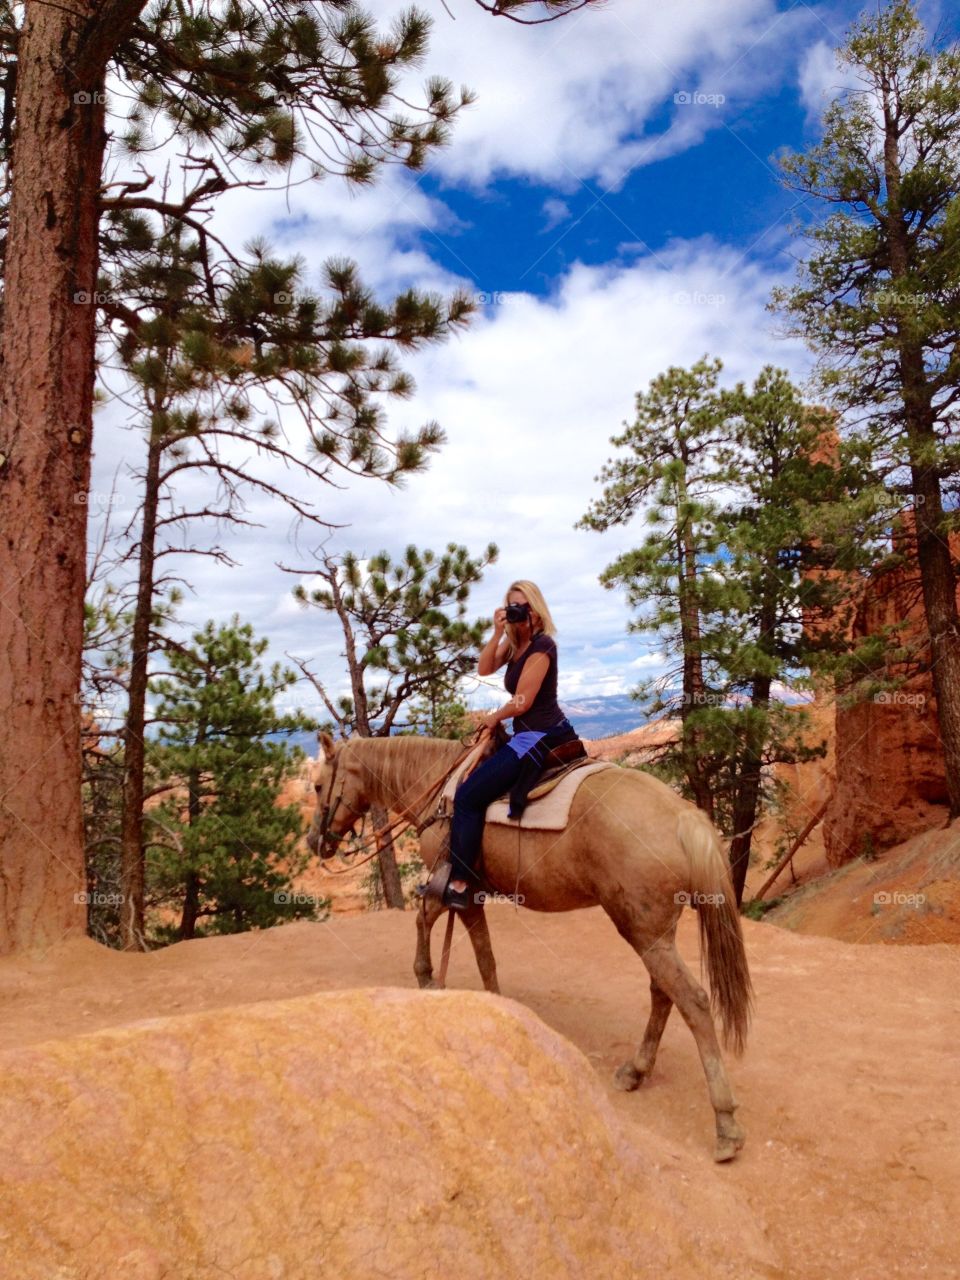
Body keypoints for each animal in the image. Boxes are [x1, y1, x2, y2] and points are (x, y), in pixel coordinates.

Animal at [312, 732, 757, 1162]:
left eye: (318, 785)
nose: (316, 841)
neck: (438, 786)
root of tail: (683, 815)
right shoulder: (465, 894)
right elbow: (472, 946)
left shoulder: (456, 889)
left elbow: (449, 935)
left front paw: (428, 978)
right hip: (653, 933)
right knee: (662, 993)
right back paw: (635, 1071)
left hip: (644, 932)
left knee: (693, 1001)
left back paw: (726, 1126)